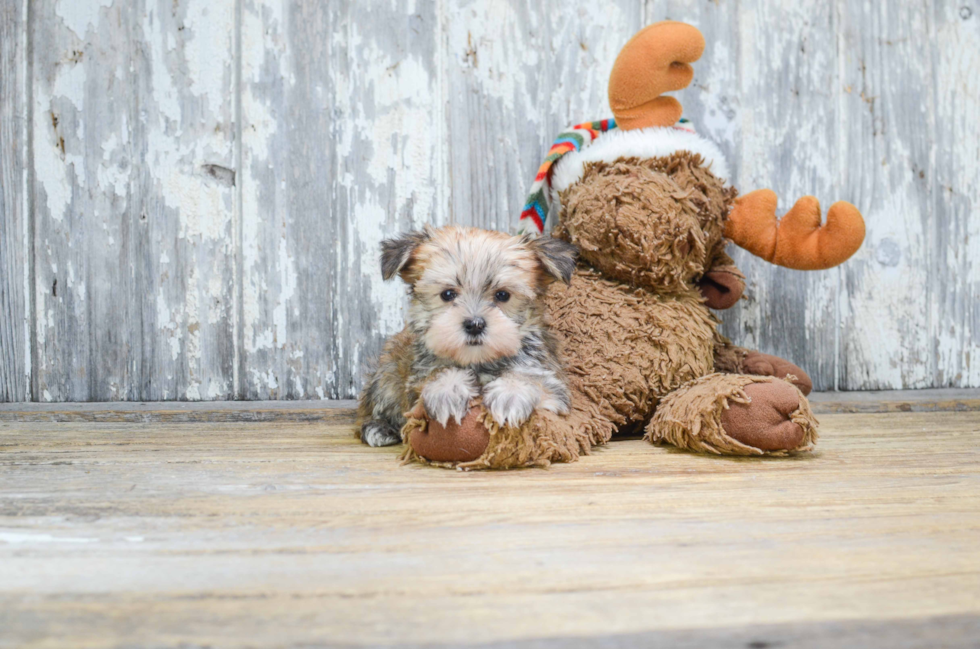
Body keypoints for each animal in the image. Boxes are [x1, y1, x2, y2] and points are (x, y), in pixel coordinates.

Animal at [358, 224, 576, 446]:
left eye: (503, 295)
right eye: (447, 294)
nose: (475, 325)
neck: (477, 361)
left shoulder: (552, 380)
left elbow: (534, 379)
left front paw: (510, 393)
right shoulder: (416, 380)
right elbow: (436, 373)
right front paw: (447, 389)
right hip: (387, 373)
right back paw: (379, 428)